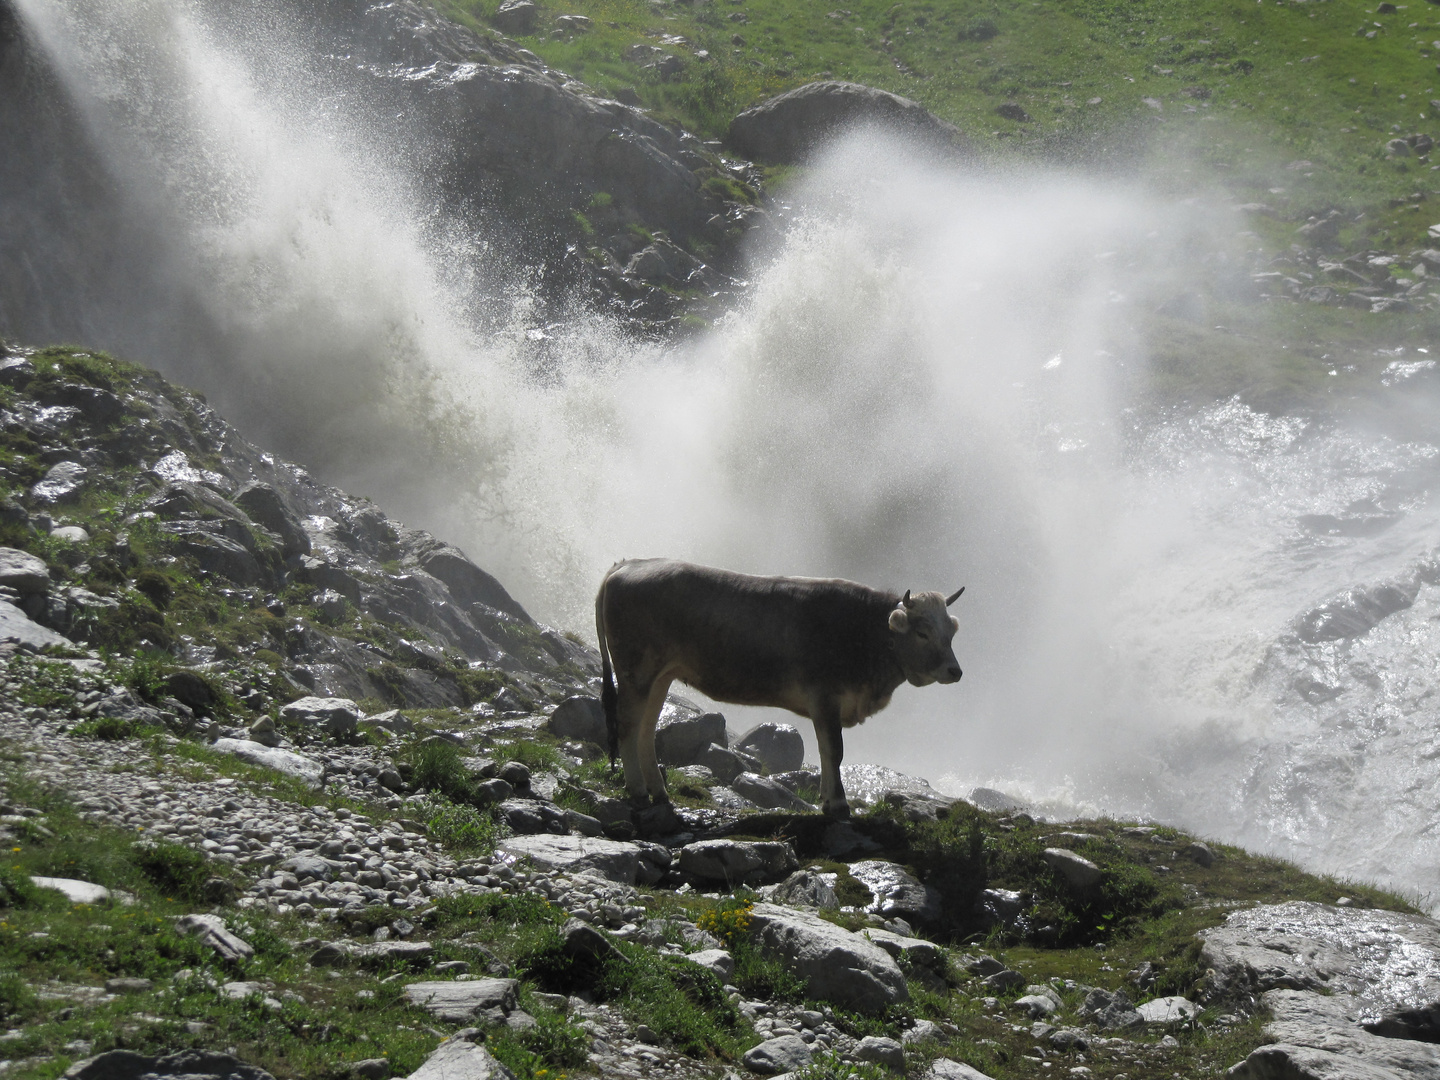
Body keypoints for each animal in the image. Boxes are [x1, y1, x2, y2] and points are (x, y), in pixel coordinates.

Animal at [590, 561, 961, 817]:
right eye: (923, 632)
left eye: (950, 633)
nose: (955, 671)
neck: (864, 632)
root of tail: (630, 564)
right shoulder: (825, 697)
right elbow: (834, 751)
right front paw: (838, 804)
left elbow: (826, 752)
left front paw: (827, 799)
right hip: (636, 672)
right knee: (628, 726)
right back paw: (639, 791)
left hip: (659, 676)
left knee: (646, 729)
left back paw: (658, 790)